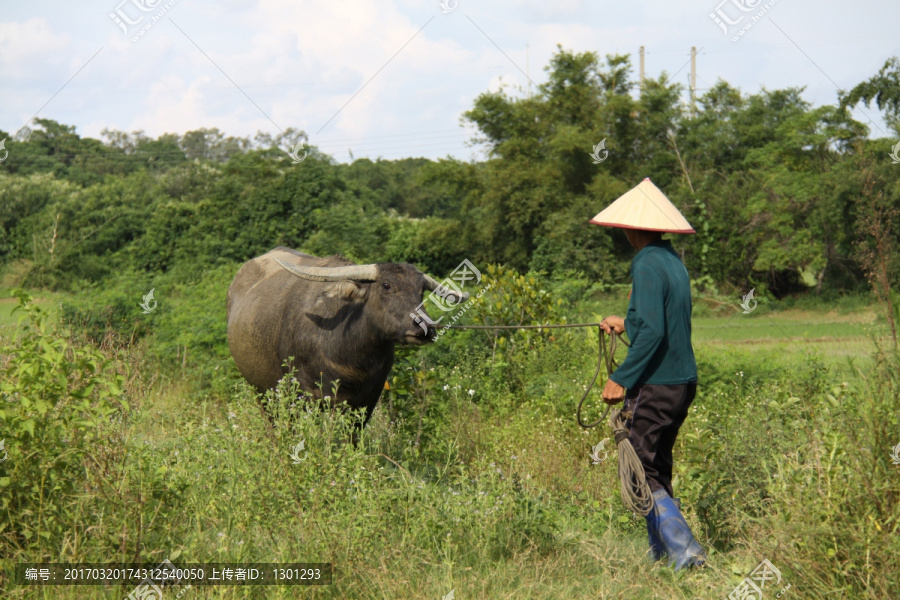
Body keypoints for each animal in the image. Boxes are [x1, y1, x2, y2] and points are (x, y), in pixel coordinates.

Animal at [225, 246, 468, 424]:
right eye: (386, 285)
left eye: (421, 291)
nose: (425, 327)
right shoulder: (306, 395)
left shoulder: (367, 399)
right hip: (262, 392)